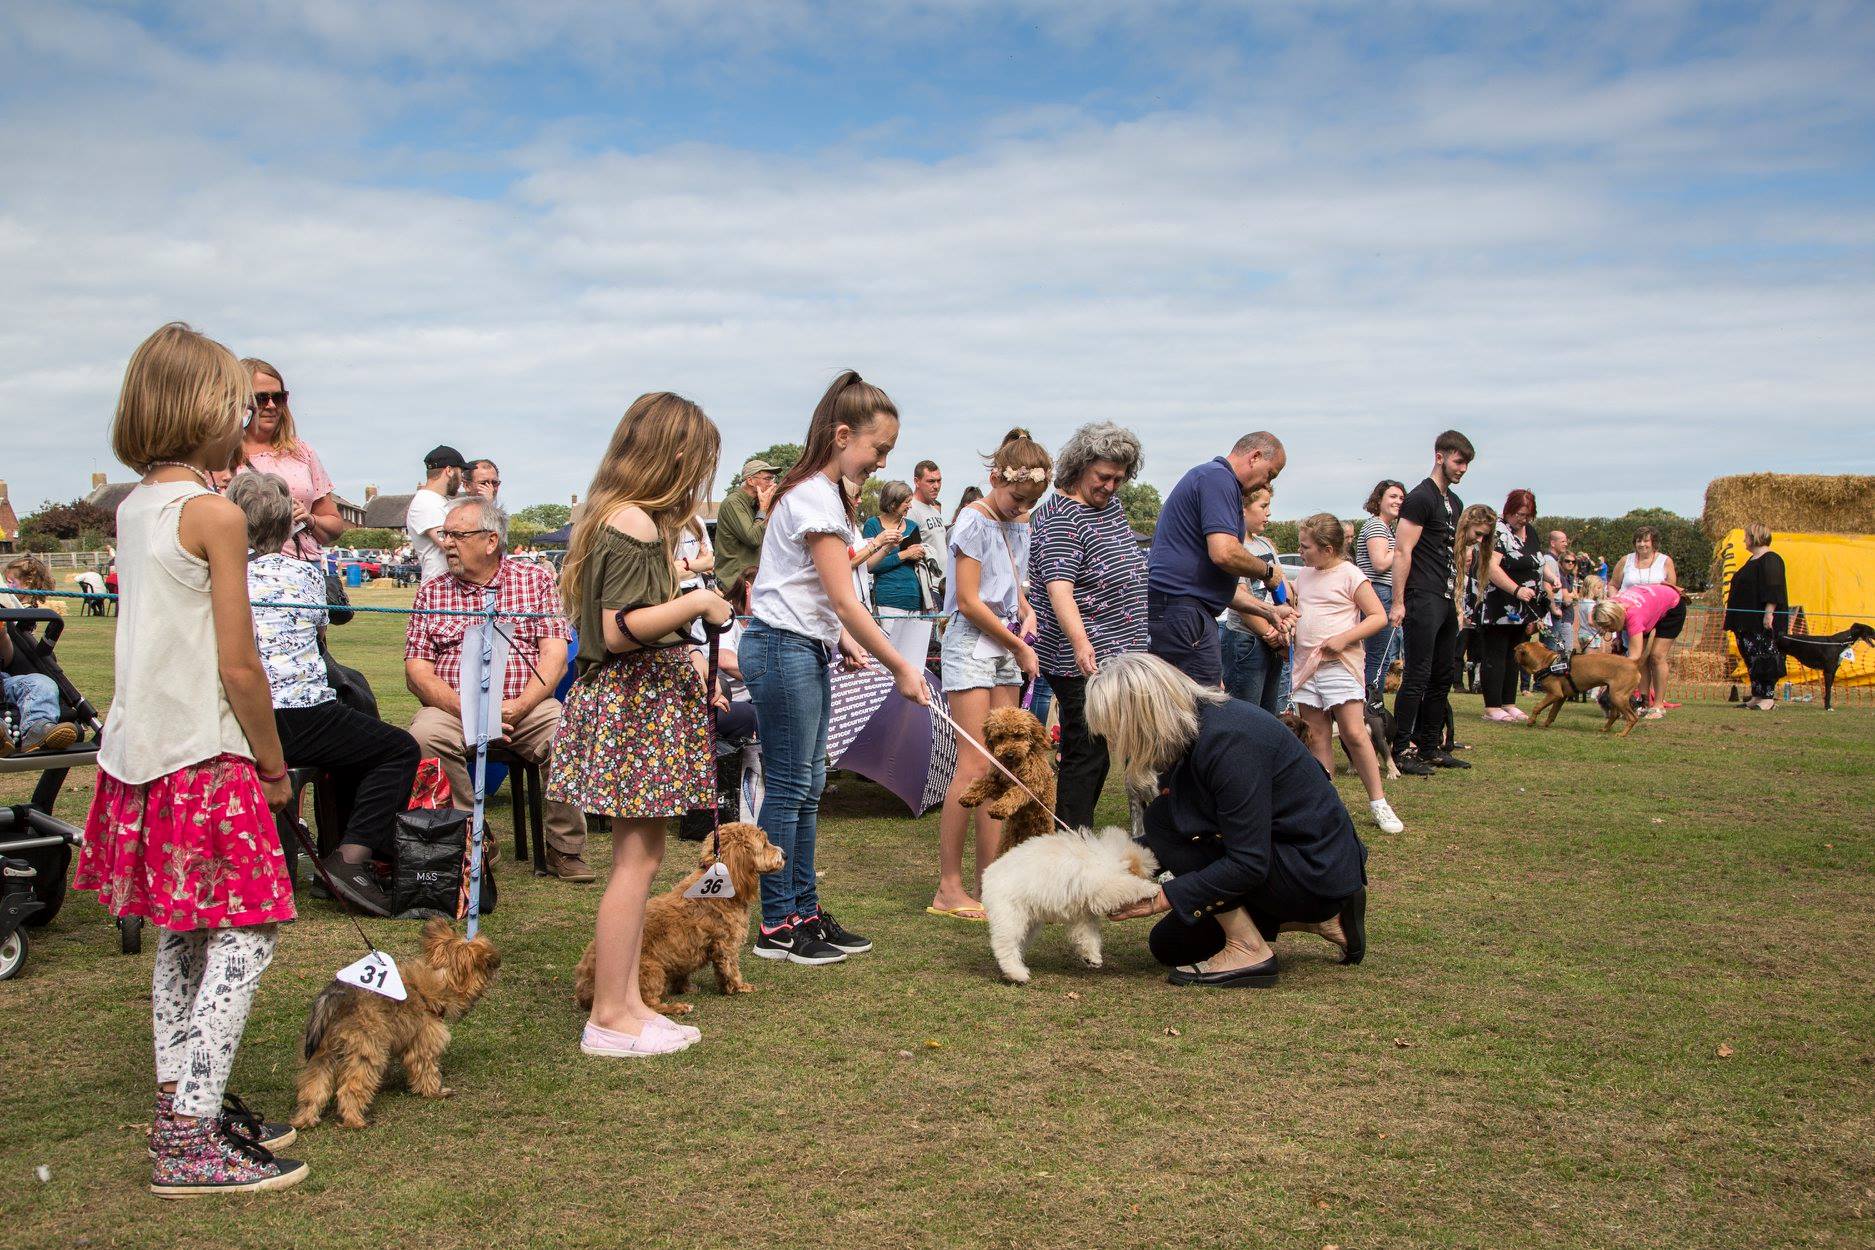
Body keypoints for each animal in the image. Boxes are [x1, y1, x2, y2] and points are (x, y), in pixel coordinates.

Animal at [292, 918, 498, 1131]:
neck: (438, 980)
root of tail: (336, 998)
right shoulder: (424, 1040)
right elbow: (426, 1069)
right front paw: (435, 1092)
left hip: (321, 1054)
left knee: (313, 1087)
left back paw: (304, 1120)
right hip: (366, 1051)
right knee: (350, 1088)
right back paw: (355, 1121)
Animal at [570, 820, 776, 1019]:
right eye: (765, 843)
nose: (782, 854)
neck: (724, 888)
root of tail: (585, 989)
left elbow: (682, 972)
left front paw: (685, 987)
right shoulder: (726, 945)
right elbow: (730, 970)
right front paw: (739, 987)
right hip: (651, 971)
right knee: (650, 1005)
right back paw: (677, 1007)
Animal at [982, 832, 1155, 989]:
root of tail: (988, 875)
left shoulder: (1083, 914)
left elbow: (1088, 935)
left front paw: (1092, 957)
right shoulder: (1104, 885)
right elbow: (1128, 886)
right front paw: (1150, 888)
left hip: (1028, 923)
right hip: (1011, 919)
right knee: (1004, 946)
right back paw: (1017, 973)